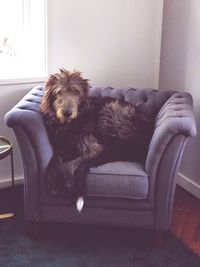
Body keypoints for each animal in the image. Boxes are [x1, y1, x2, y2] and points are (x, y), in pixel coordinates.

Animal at [39, 70, 154, 213]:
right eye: (59, 92)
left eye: (76, 92)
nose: (67, 113)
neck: (69, 125)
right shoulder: (61, 146)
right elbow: (55, 158)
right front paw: (51, 178)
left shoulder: (93, 148)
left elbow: (68, 165)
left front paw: (66, 182)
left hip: (110, 111)